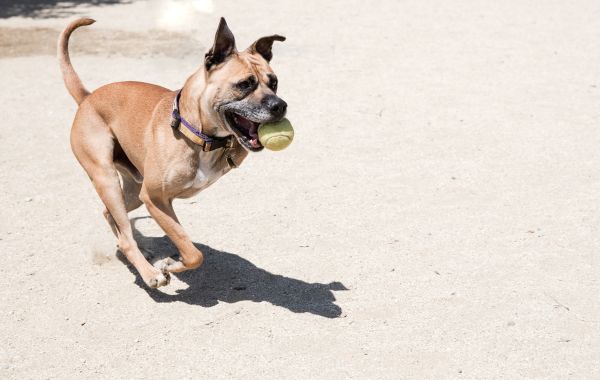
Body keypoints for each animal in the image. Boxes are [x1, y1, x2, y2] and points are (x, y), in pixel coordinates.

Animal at [57, 16, 288, 286]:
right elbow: (190, 249)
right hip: (108, 179)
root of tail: (87, 97)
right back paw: (148, 273)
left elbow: (191, 251)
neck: (196, 133)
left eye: (274, 82)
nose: (280, 105)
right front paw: (170, 265)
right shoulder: (155, 199)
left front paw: (171, 263)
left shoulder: (152, 197)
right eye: (244, 84)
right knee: (125, 238)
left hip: (133, 191)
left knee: (112, 218)